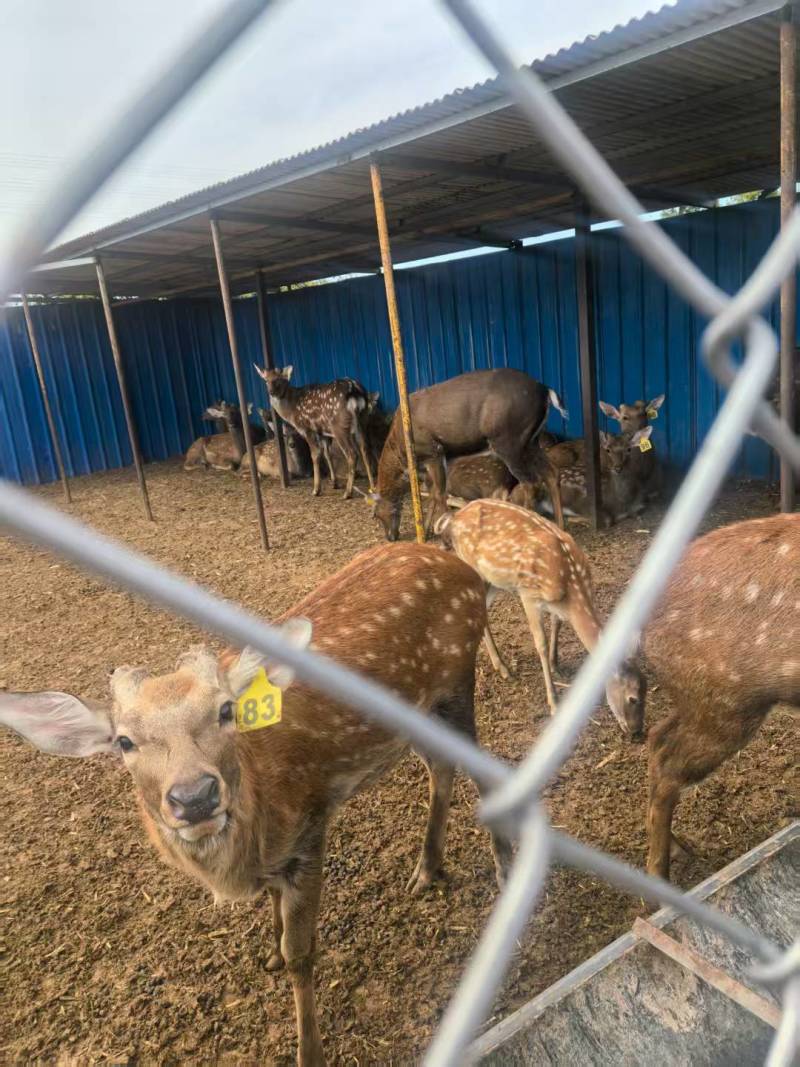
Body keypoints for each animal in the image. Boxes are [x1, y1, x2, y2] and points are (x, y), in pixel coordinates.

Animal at [0, 541, 511, 1067]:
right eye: (124, 741)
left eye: (226, 710)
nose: (195, 797)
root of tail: (462, 568)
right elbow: (273, 909)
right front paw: (267, 952)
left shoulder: (310, 828)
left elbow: (301, 952)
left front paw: (309, 1050)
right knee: (441, 767)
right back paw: (427, 869)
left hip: (457, 681)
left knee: (484, 769)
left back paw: (503, 870)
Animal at [254, 366, 375, 499]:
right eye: (266, 380)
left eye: (279, 380)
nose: (271, 392)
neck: (291, 410)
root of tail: (354, 389)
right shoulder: (323, 432)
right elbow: (327, 454)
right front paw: (335, 483)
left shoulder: (307, 428)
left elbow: (315, 454)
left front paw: (316, 490)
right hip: (363, 420)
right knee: (365, 449)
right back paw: (372, 488)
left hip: (339, 426)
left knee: (352, 454)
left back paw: (347, 493)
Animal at [371, 369, 566, 541]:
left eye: (376, 515)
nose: (390, 537)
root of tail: (546, 390)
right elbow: (434, 493)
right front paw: (425, 533)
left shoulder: (433, 451)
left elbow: (440, 494)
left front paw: (443, 533)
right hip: (532, 440)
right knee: (552, 472)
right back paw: (560, 526)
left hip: (509, 440)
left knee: (531, 482)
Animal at [437, 498, 645, 736]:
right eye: (633, 698)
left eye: (647, 690)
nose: (637, 731)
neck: (570, 588)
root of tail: (454, 517)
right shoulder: (528, 593)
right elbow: (541, 644)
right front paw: (554, 702)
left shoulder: (554, 604)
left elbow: (557, 624)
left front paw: (557, 665)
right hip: (472, 566)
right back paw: (504, 669)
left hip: (492, 580)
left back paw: (501, 666)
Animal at [643, 513, 800, 880]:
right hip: (726, 705)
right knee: (668, 766)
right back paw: (658, 879)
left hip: (697, 699)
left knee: (657, 737)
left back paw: (677, 849)